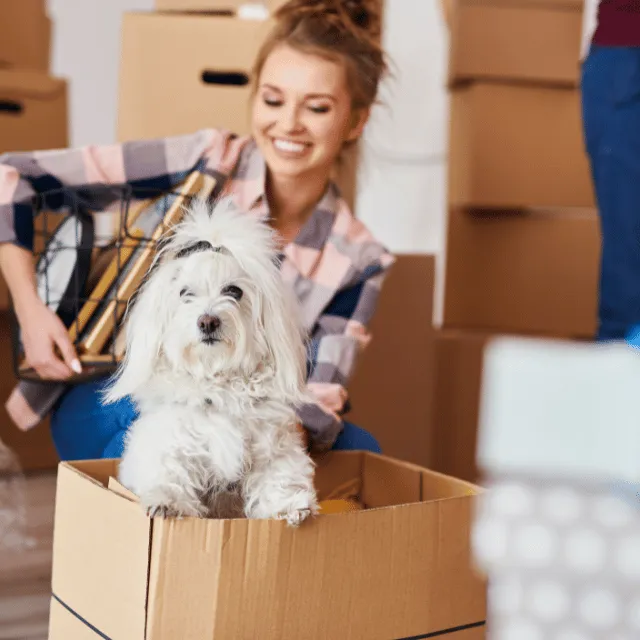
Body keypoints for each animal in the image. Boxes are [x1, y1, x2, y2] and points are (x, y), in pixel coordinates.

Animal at [104, 198, 320, 528]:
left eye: (234, 291)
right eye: (185, 293)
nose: (208, 321)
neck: (218, 381)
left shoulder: (272, 447)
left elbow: (279, 475)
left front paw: (289, 506)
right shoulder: (172, 439)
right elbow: (169, 469)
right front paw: (168, 502)